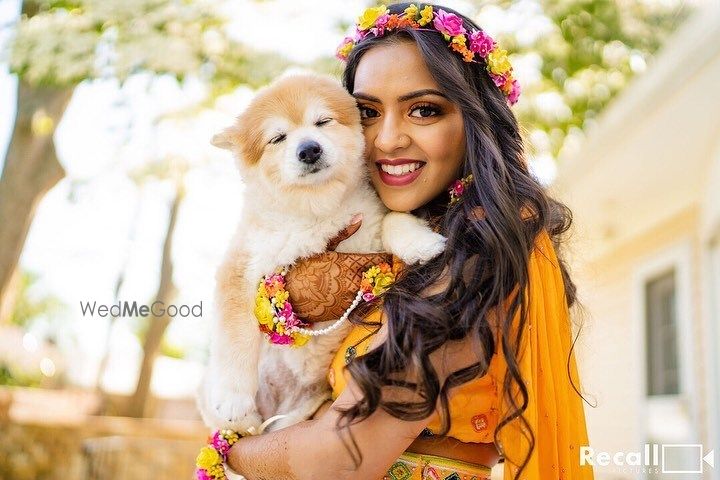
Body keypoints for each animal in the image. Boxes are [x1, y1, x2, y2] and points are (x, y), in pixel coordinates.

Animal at [197, 72, 444, 436]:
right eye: (278, 138)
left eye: (322, 122)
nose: (309, 149)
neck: (316, 210)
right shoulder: (242, 266)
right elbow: (236, 336)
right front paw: (232, 398)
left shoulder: (370, 224)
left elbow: (394, 219)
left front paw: (422, 243)